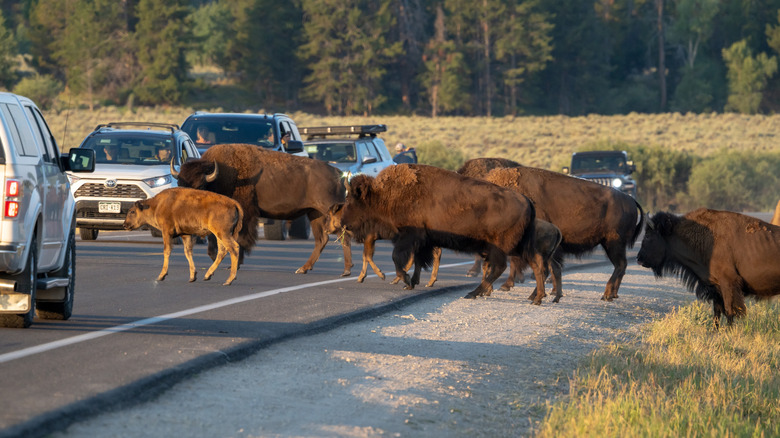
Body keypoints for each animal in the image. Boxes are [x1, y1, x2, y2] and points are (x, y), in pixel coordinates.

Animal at [172, 144, 352, 276]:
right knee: (322, 239)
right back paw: (304, 269)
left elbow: (239, 239)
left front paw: (235, 264)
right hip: (314, 213)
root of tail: (338, 173)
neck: (222, 175)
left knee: (342, 236)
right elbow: (214, 241)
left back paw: (346, 270)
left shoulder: (244, 215)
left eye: (201, 186)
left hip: (328, 211)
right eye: (180, 184)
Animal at [638, 209, 780, 328]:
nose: (639, 258)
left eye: (648, 236)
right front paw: (715, 331)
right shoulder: (716, 288)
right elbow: (717, 312)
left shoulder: (728, 283)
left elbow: (729, 310)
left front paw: (729, 332)